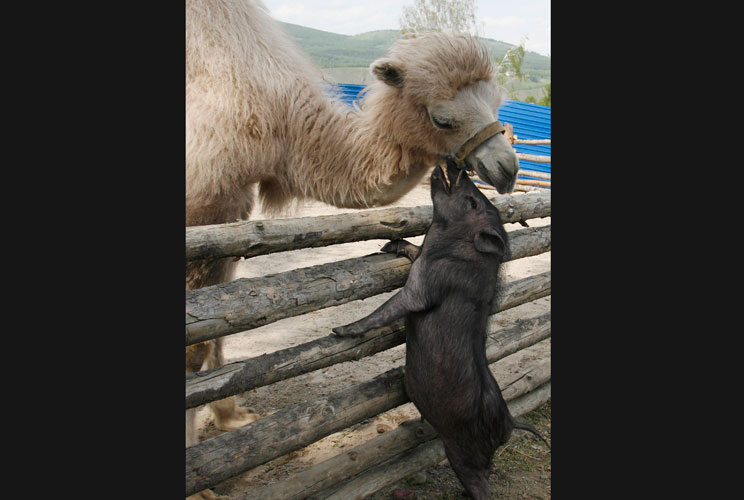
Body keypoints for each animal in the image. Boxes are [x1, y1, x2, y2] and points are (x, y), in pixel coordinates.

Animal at [332, 162, 548, 498]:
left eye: (473, 203)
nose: (459, 167)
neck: (447, 247)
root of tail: (512, 421)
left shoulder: (422, 288)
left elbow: (388, 308)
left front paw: (340, 331)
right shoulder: (420, 257)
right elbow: (410, 249)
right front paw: (388, 245)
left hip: (463, 451)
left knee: (481, 484)